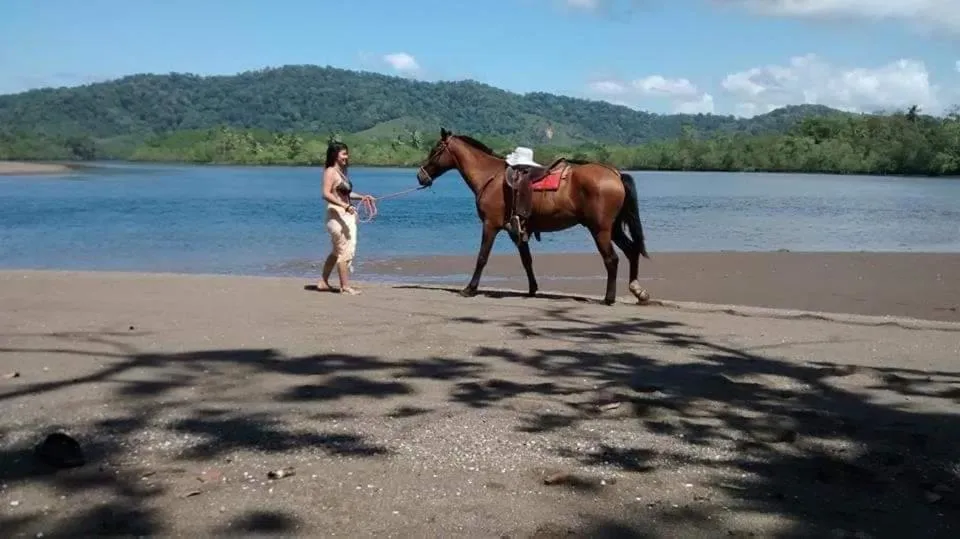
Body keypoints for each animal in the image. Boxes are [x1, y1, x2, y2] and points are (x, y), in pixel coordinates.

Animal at [415, 128, 651, 306]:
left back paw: (609, 298)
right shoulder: (516, 230)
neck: (490, 177)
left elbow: (482, 257)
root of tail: (615, 174)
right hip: (614, 228)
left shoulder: (490, 225)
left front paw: (470, 288)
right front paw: (532, 289)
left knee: (612, 259)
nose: (420, 176)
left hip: (600, 229)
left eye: (435, 149)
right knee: (631, 251)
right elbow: (526, 260)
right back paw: (638, 291)